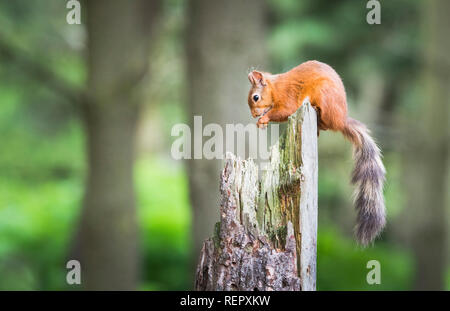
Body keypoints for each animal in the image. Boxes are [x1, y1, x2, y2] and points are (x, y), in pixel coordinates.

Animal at [248, 61, 384, 246]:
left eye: (256, 97)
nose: (254, 114)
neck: (275, 87)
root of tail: (341, 120)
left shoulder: (288, 97)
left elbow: (284, 111)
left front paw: (263, 119)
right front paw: (260, 122)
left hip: (324, 95)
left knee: (326, 121)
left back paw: (317, 111)